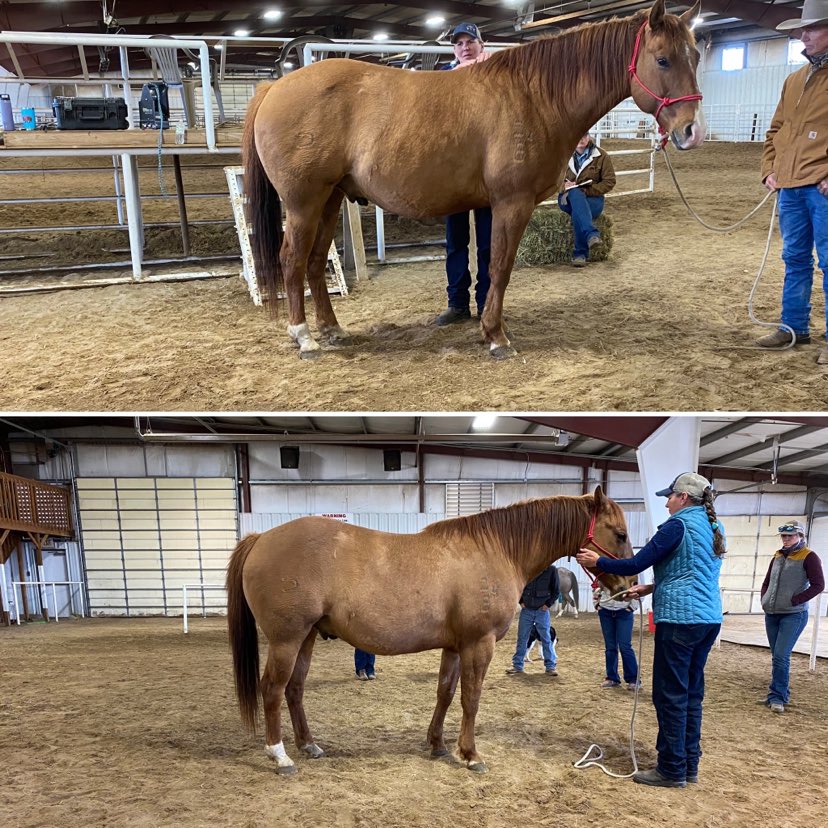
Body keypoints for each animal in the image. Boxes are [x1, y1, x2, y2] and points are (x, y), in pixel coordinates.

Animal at [223, 488, 632, 772]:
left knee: (294, 689)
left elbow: (446, 693)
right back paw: (280, 756)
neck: (496, 550)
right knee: (272, 689)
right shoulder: (478, 643)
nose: (628, 586)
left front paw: (438, 744)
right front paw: (471, 754)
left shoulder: (455, 646)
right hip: (286, 639)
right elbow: (471, 698)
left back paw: (309, 745)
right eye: (620, 534)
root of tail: (261, 539)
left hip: (306, 637)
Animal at [243, 1, 700, 360]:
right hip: (303, 202)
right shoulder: (512, 203)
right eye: (663, 59)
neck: (533, 95)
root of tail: (273, 88)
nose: (691, 131)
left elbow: (488, 265)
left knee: (315, 262)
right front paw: (496, 337)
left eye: (695, 56)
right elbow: (500, 266)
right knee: (292, 260)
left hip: (330, 199)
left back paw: (333, 330)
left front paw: (491, 327)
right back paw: (304, 338)